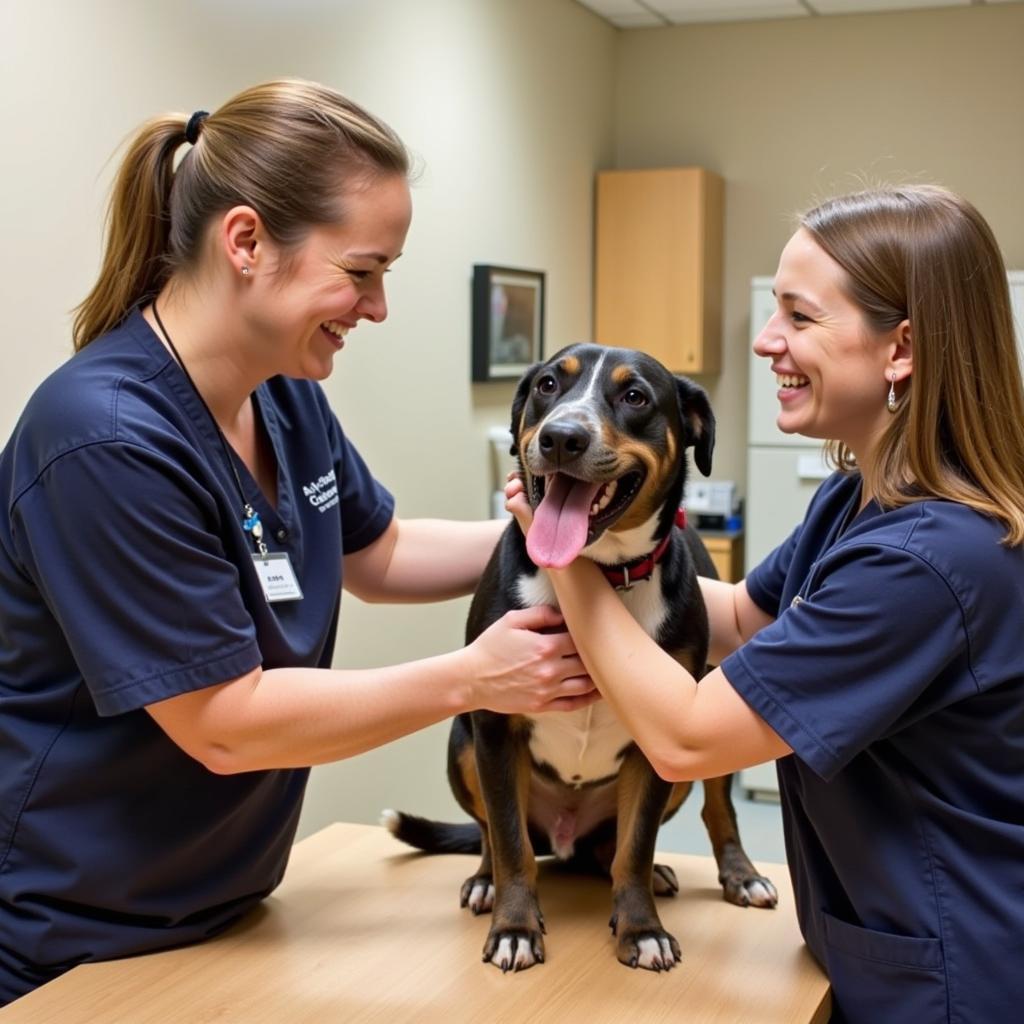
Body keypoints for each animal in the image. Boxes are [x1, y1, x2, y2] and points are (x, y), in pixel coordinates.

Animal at [385, 346, 774, 974]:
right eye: (548, 385)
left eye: (635, 396)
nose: (562, 437)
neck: (600, 575)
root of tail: (563, 840)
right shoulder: (494, 723)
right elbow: (510, 842)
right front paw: (515, 927)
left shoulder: (663, 731)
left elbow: (636, 847)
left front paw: (642, 928)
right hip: (464, 744)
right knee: (495, 832)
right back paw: (484, 881)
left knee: (668, 827)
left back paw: (725, 874)